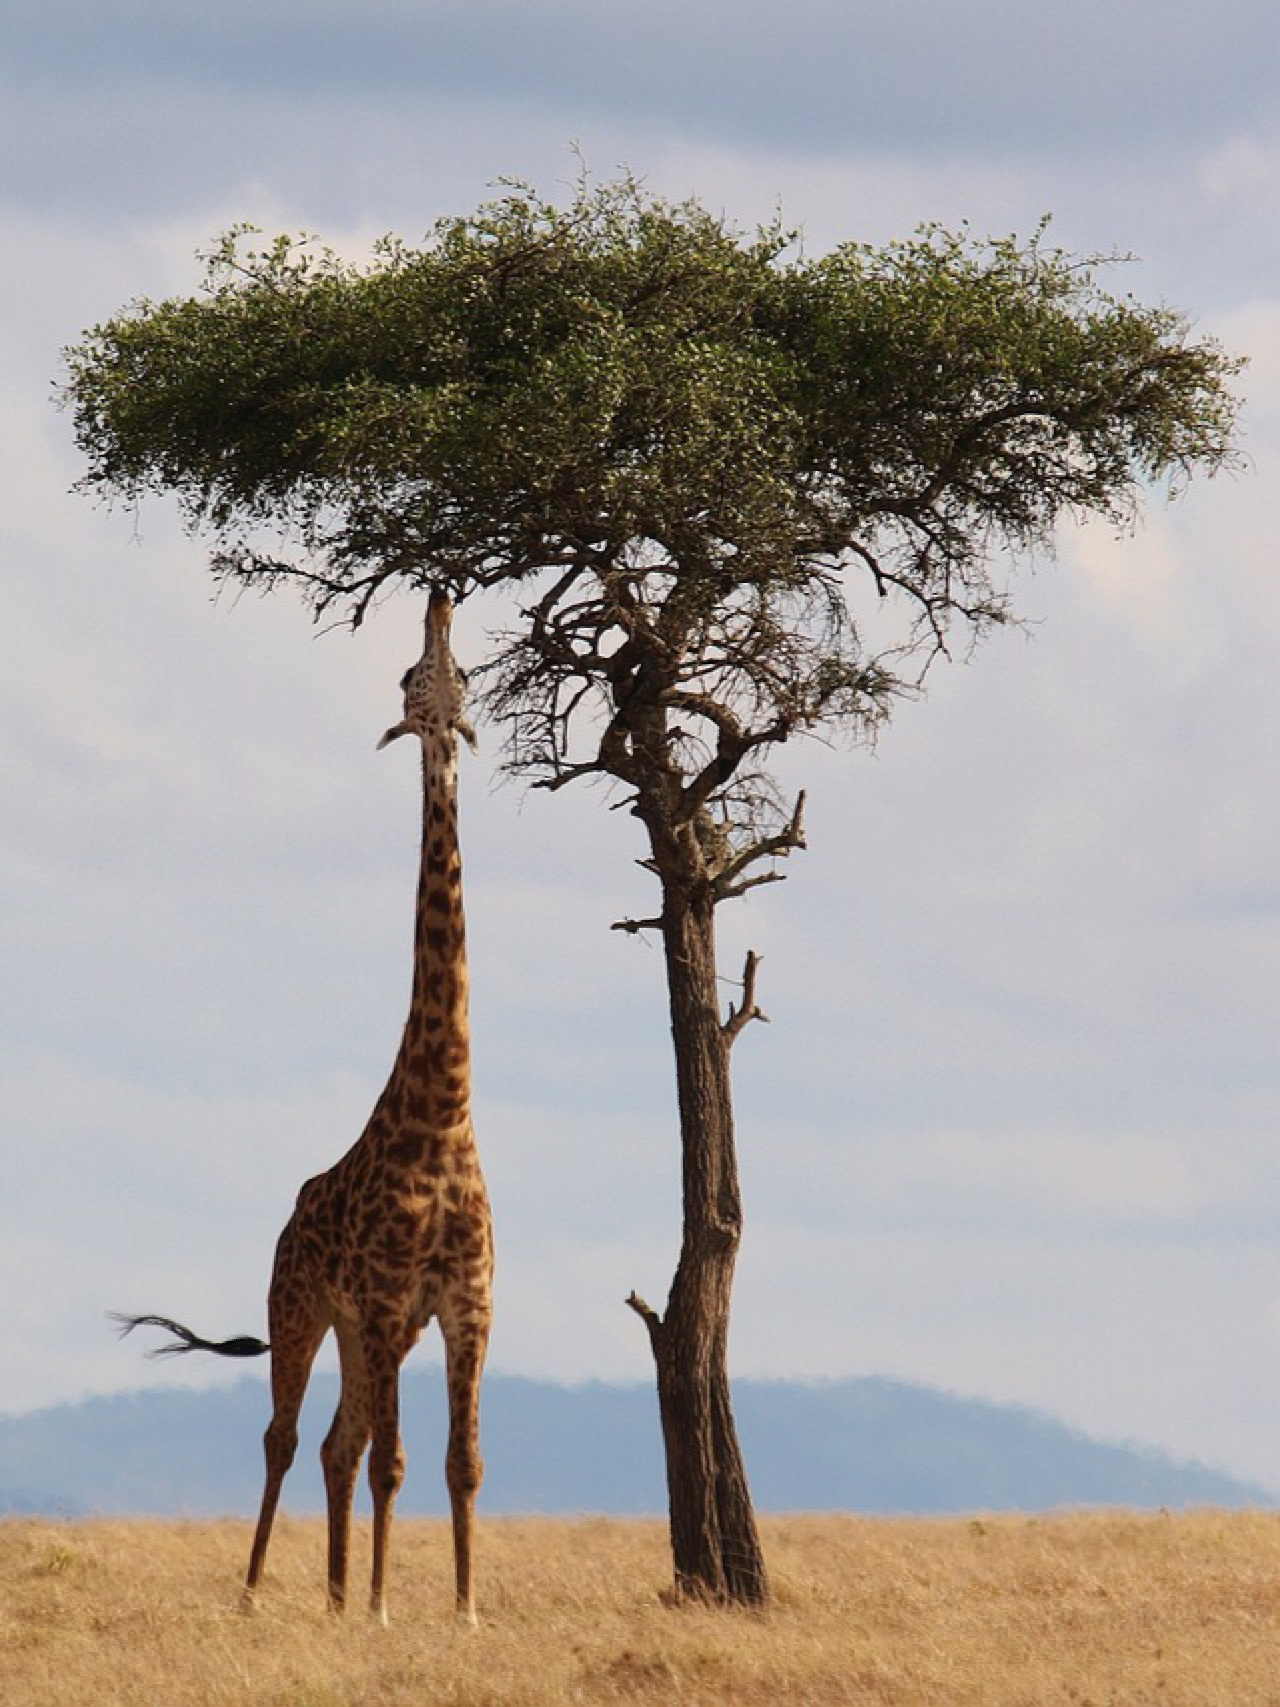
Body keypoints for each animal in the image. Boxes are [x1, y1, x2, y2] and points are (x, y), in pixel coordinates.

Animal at [116, 591, 494, 1625]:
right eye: (411, 676)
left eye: (462, 675)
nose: (441, 597)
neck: (443, 1114)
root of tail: (288, 1217)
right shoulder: (391, 1296)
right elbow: (398, 1461)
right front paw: (385, 1608)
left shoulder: (465, 1303)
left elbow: (462, 1461)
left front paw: (462, 1610)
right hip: (302, 1307)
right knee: (287, 1437)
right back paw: (258, 1593)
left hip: (365, 1332)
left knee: (337, 1443)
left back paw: (330, 1597)